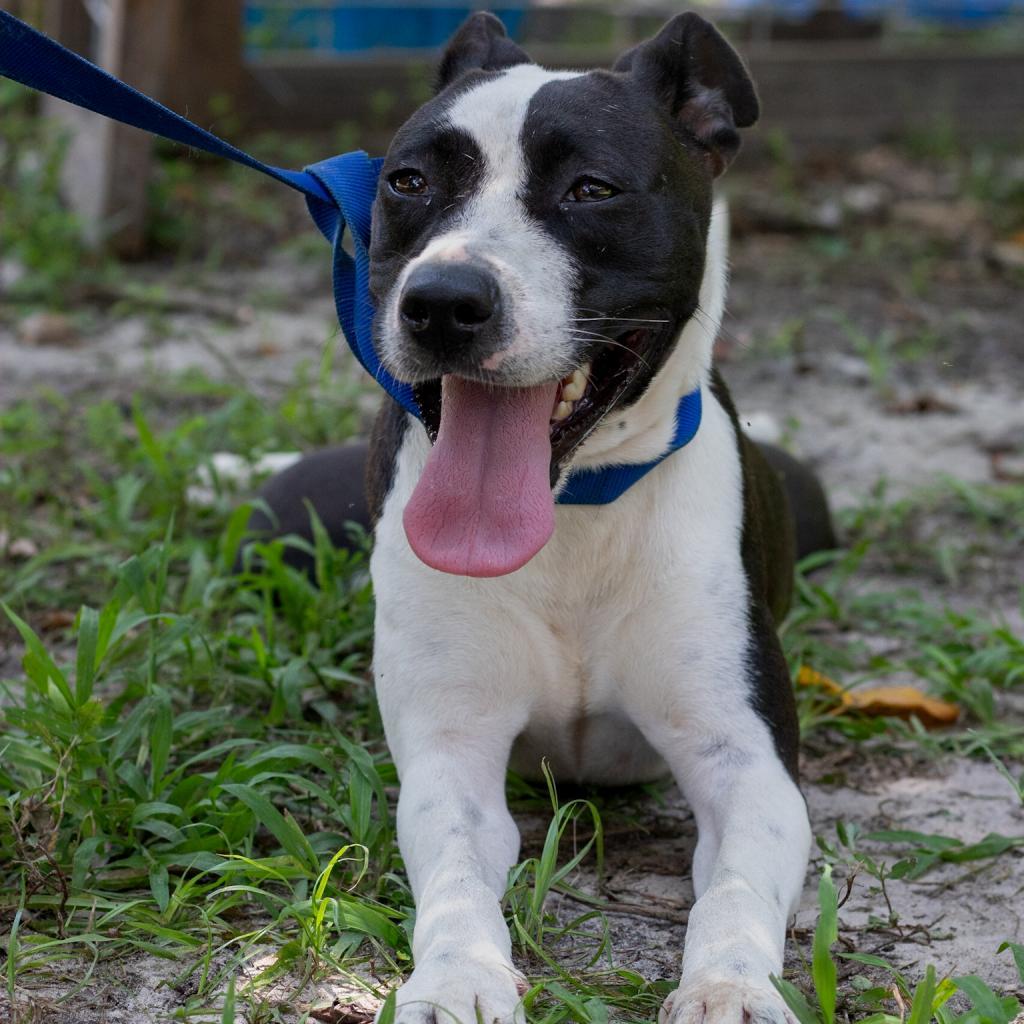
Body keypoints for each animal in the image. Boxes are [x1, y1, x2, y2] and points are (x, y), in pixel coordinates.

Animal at [247, 14, 839, 1024]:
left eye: (591, 189)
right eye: (409, 181)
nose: (445, 302)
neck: (574, 509)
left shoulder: (746, 761)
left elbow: (733, 891)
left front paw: (727, 986)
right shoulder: (453, 752)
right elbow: (453, 876)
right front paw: (458, 977)